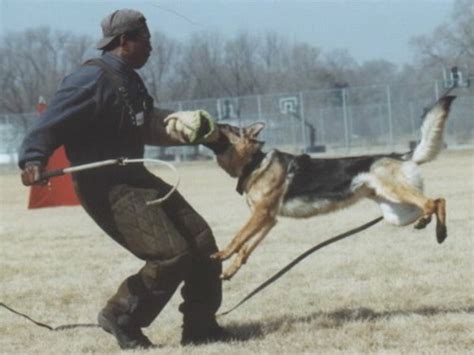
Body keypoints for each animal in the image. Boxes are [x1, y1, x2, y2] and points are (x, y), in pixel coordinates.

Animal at [210, 96, 456, 280]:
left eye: (227, 128)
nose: (213, 121)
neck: (254, 163)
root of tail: (400, 155)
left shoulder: (261, 214)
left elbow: (238, 238)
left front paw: (220, 255)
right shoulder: (268, 219)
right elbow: (245, 249)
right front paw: (230, 270)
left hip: (397, 193)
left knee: (434, 201)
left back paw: (433, 225)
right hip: (396, 213)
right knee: (436, 202)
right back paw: (437, 230)